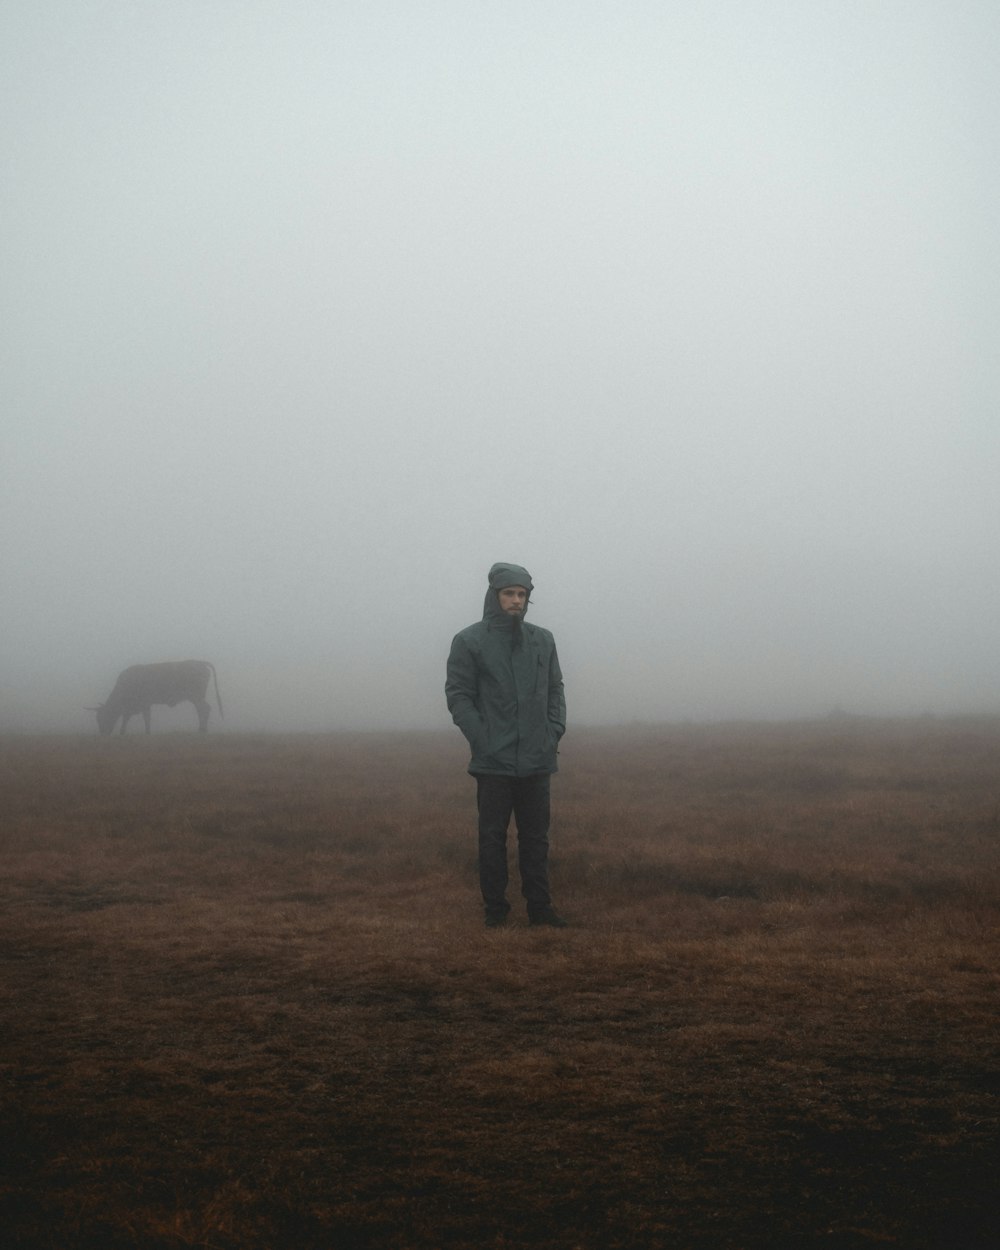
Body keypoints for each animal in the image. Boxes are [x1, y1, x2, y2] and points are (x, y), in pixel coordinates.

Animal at [88, 665, 223, 730]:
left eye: (103, 717)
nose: (102, 733)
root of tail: (199, 663)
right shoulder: (132, 709)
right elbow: (125, 721)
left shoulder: (145, 705)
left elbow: (147, 719)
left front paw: (147, 733)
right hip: (196, 698)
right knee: (203, 709)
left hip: (196, 697)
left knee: (204, 709)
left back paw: (202, 729)